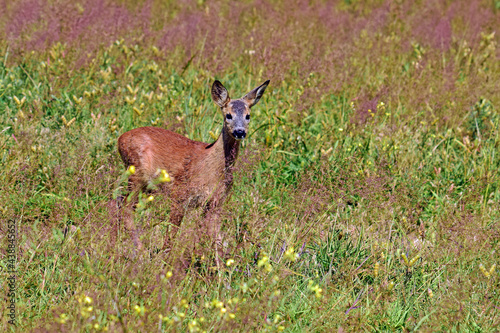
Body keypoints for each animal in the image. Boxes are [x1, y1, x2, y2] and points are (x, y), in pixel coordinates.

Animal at [114, 79, 270, 253]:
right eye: (228, 115)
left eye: (248, 116)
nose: (240, 132)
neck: (212, 168)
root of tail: (120, 139)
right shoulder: (180, 194)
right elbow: (172, 232)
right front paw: (164, 257)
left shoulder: (216, 202)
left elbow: (215, 238)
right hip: (136, 173)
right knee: (125, 206)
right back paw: (138, 248)